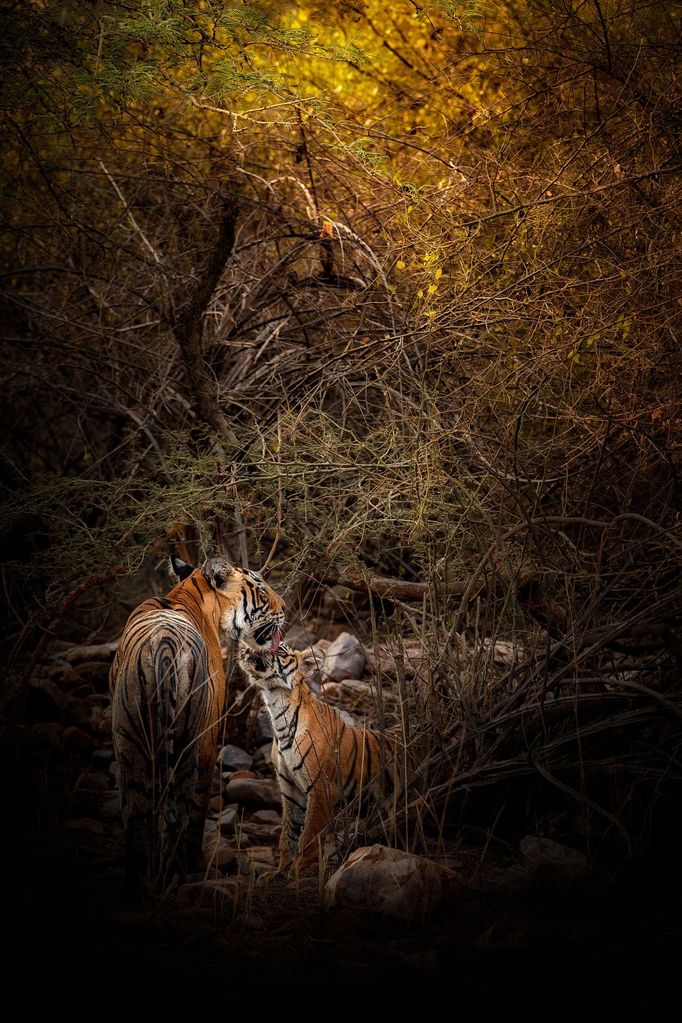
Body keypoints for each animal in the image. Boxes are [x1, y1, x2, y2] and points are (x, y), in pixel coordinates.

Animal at [109, 556, 286, 892]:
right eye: (261, 589)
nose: (285, 607)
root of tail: (163, 642)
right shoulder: (208, 740)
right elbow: (200, 805)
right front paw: (198, 862)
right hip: (188, 741)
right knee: (179, 807)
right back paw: (180, 872)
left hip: (129, 739)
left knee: (135, 811)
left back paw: (137, 882)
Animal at [239, 638, 400, 871]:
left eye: (279, 649)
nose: (248, 644)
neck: (276, 709)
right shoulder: (290, 789)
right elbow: (288, 834)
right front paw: (280, 872)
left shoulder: (322, 787)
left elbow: (309, 835)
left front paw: (298, 871)